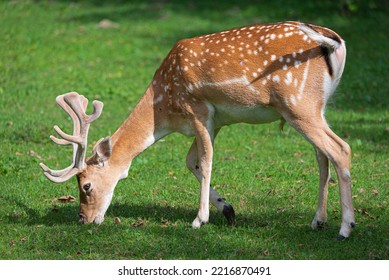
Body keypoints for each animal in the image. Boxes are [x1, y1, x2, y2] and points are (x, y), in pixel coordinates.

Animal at [40, 21, 354, 241]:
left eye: (86, 185)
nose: (83, 219)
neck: (165, 109)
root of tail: (334, 42)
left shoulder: (199, 110)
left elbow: (206, 160)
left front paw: (199, 219)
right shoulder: (214, 123)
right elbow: (192, 161)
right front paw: (227, 210)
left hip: (298, 102)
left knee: (340, 149)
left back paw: (345, 227)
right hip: (316, 106)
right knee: (322, 156)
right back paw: (318, 221)